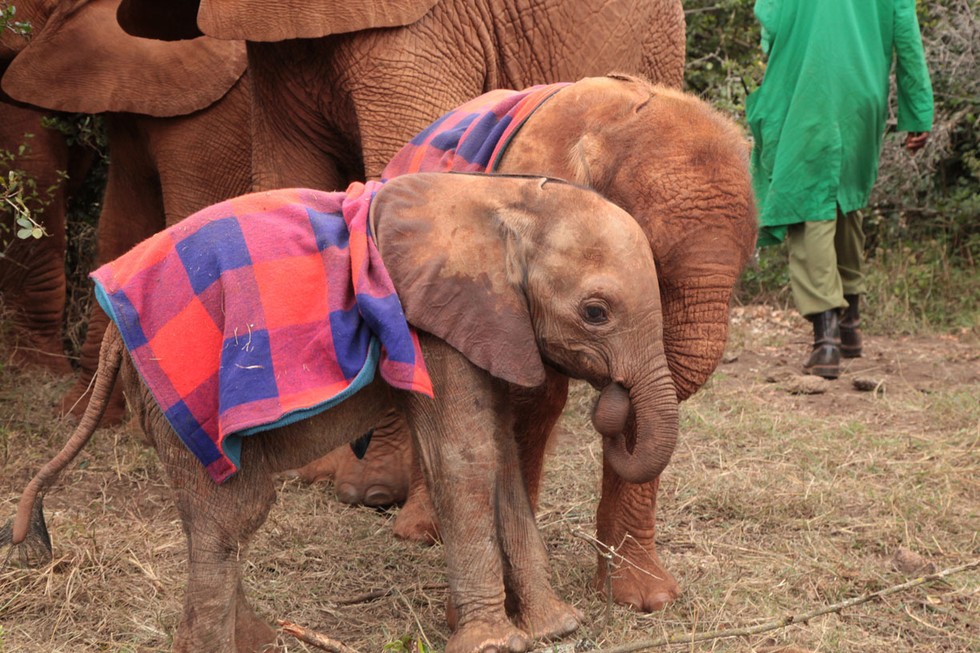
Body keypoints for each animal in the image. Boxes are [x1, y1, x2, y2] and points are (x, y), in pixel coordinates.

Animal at [4, 172, 681, 653]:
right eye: (595, 312)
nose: (614, 403)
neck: (503, 199)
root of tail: (110, 327)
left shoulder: (485, 318)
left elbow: (500, 457)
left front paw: (557, 630)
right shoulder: (428, 319)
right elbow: (466, 458)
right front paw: (497, 644)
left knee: (228, 520)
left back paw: (264, 642)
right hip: (179, 398)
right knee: (229, 518)